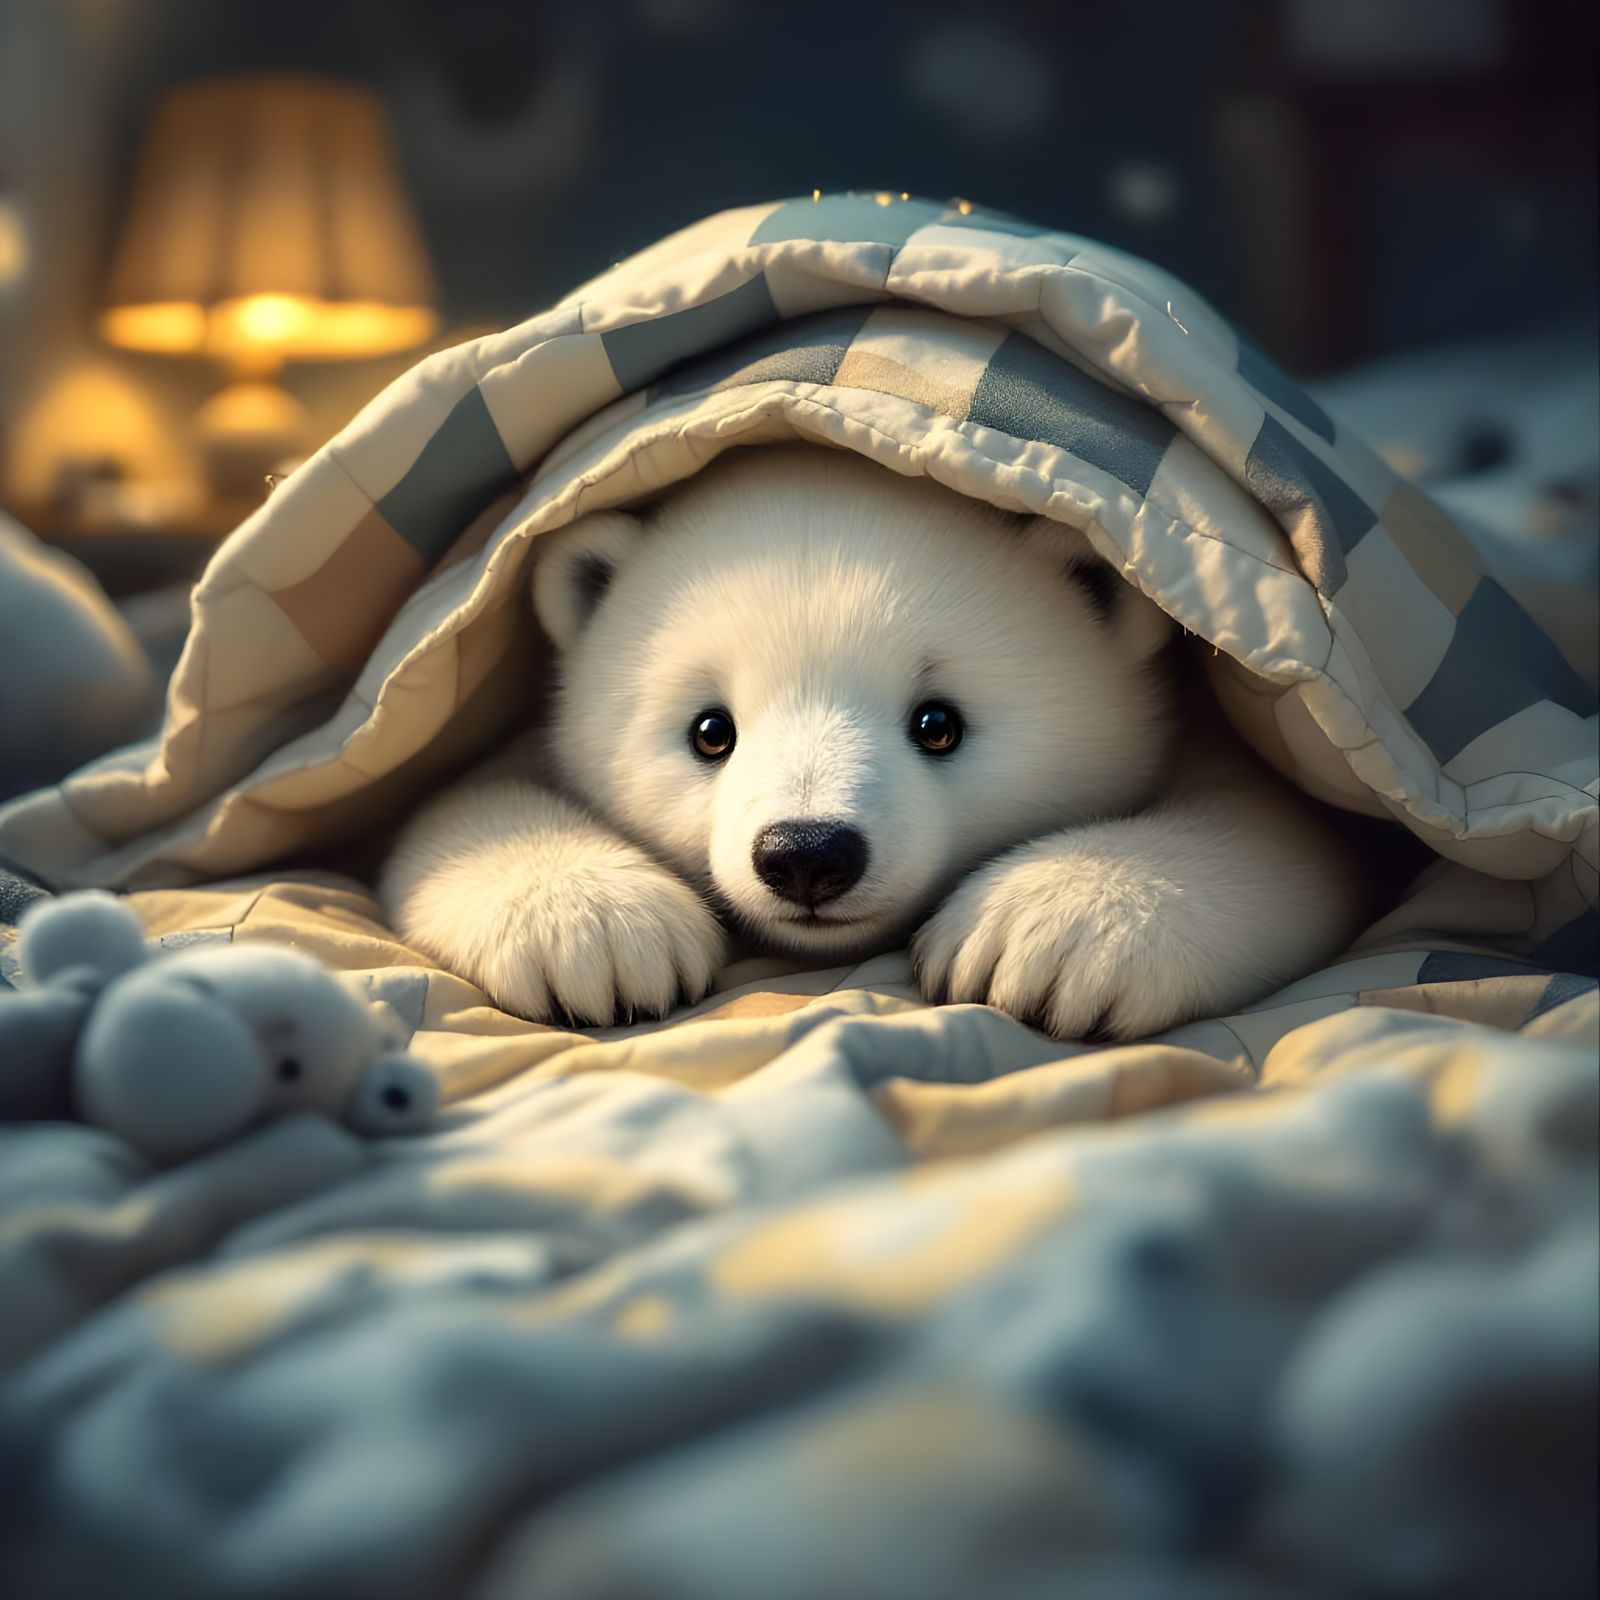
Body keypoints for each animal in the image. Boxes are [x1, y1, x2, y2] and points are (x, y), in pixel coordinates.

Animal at [379, 443, 1368, 1039]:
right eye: (710, 731)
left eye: (937, 723)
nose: (806, 853)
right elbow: (461, 802)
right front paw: (598, 937)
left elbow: (1277, 829)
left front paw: (1044, 938)